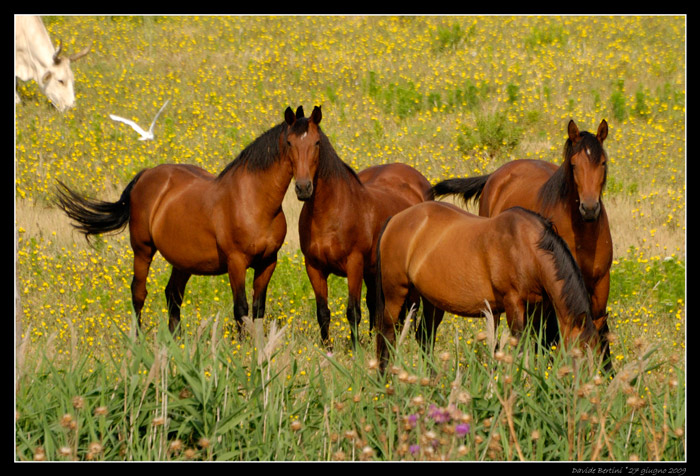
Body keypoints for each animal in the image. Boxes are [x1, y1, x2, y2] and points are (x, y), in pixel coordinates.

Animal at [56, 106, 314, 336]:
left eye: (316, 144)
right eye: (290, 143)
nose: (304, 188)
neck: (253, 200)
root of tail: (146, 174)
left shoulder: (268, 262)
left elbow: (258, 309)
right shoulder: (236, 262)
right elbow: (240, 308)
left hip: (183, 260)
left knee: (172, 295)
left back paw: (177, 343)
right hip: (142, 250)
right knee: (139, 293)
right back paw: (139, 341)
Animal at [286, 106, 432, 348]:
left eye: (317, 142)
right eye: (289, 142)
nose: (303, 187)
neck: (329, 212)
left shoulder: (354, 264)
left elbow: (353, 311)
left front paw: (355, 349)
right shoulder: (314, 267)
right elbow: (323, 312)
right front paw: (327, 348)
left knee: (411, 303)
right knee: (377, 303)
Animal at [374, 201, 600, 376]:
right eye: (578, 353)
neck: (526, 247)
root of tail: (394, 220)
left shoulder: (537, 308)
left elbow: (533, 343)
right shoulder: (513, 303)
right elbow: (518, 346)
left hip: (431, 301)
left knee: (424, 337)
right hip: (396, 293)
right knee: (387, 333)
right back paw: (385, 378)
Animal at [426, 119, 612, 372]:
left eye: (602, 163)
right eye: (573, 164)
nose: (590, 208)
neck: (584, 235)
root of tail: (497, 174)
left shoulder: (600, 284)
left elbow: (602, 331)